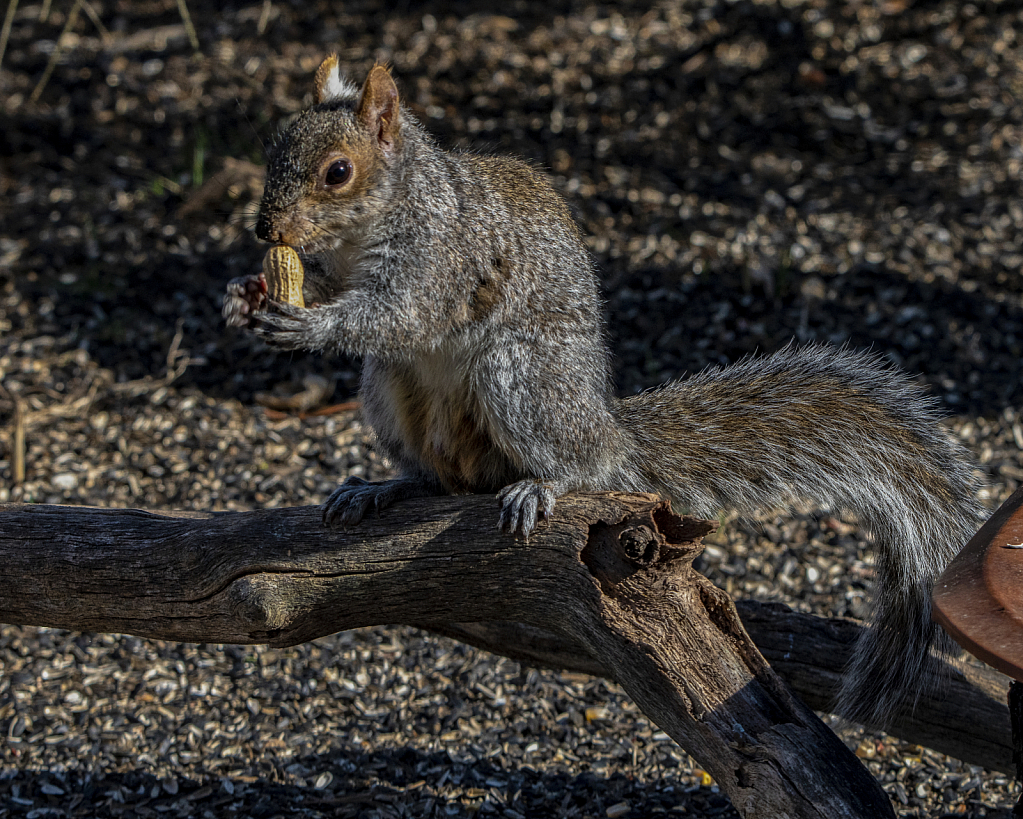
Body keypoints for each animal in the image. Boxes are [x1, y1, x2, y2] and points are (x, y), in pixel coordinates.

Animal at [221, 55, 982, 723]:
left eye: (338, 172)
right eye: (273, 149)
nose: (264, 229)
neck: (375, 220)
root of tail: (605, 426)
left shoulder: (442, 256)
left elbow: (399, 315)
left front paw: (310, 321)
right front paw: (245, 293)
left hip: (520, 380)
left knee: (572, 465)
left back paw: (543, 485)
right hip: (389, 391)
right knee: (440, 480)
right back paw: (383, 487)